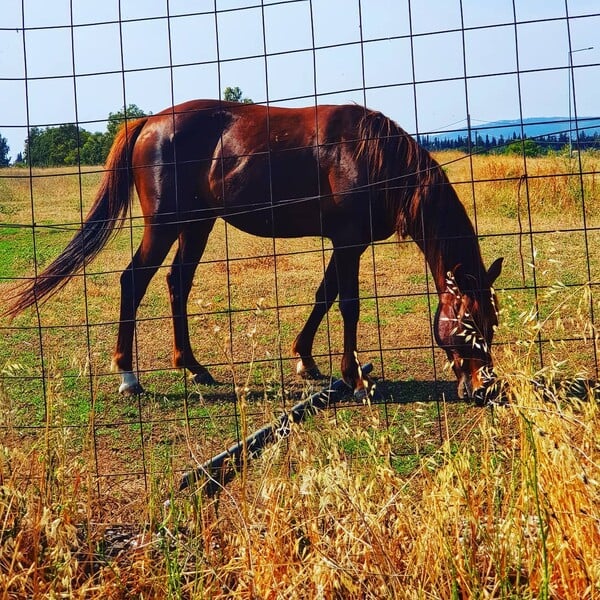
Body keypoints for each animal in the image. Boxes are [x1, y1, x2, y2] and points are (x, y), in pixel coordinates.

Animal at [3, 101, 502, 404]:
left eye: (491, 323)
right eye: (469, 322)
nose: (484, 388)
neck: (371, 157)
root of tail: (148, 122)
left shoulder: (342, 244)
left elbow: (323, 296)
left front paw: (305, 359)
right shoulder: (349, 242)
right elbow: (348, 304)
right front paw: (354, 376)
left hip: (197, 226)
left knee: (177, 284)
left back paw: (193, 366)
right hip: (164, 227)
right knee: (134, 281)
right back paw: (128, 375)